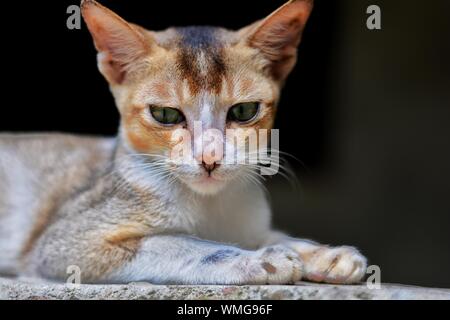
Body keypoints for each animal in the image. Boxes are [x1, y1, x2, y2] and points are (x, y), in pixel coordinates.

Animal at [0, 0, 368, 284]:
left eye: (244, 110)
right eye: (165, 114)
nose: (210, 158)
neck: (210, 207)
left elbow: (271, 234)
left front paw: (322, 253)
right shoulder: (65, 242)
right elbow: (177, 243)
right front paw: (257, 259)